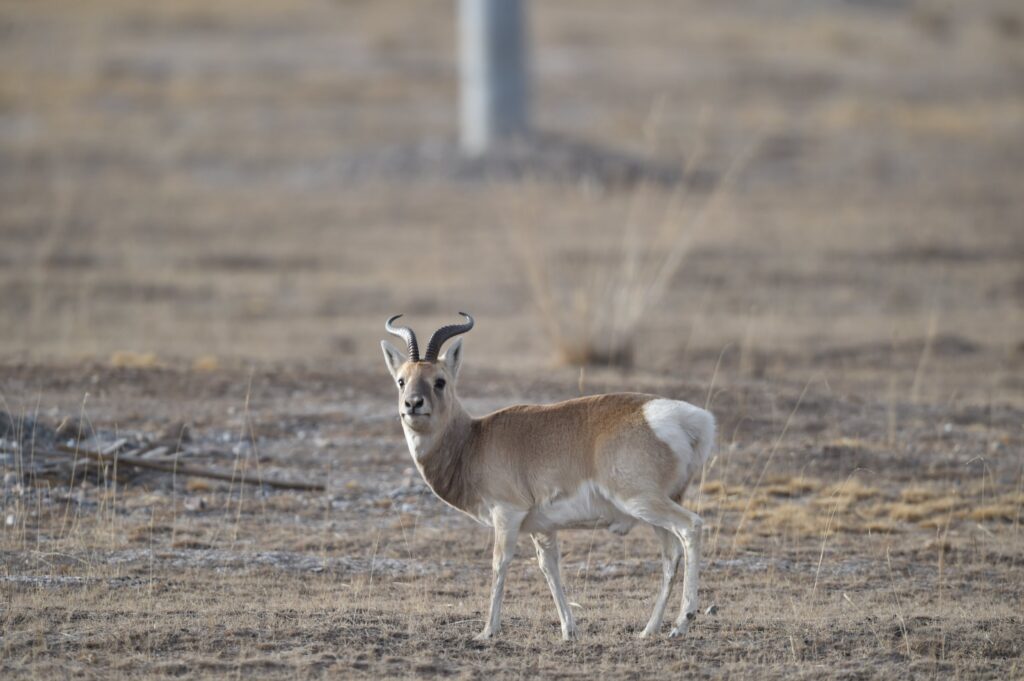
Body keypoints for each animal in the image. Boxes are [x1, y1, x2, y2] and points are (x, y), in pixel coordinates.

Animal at [381, 313, 715, 641]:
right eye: (401, 381)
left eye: (439, 381)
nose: (413, 404)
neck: (474, 440)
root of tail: (689, 419)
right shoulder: (542, 528)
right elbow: (549, 569)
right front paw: (569, 630)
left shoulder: (507, 513)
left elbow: (499, 563)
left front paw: (487, 631)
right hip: (653, 510)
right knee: (671, 554)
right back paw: (650, 630)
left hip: (642, 502)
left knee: (691, 527)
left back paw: (682, 622)